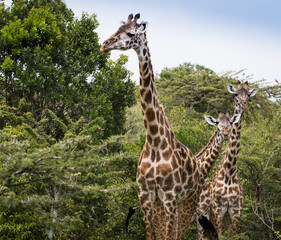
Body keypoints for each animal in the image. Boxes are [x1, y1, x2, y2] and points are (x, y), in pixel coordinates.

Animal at [100, 13, 214, 240]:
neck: (153, 140)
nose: (104, 45)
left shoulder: (169, 196)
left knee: (180, 234)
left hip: (188, 200)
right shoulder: (145, 195)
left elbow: (169, 237)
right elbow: (151, 235)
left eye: (130, 33)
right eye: (118, 29)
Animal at [195, 81, 258, 239]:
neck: (229, 171)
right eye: (236, 94)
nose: (244, 104)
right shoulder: (218, 209)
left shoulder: (236, 211)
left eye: (248, 94)